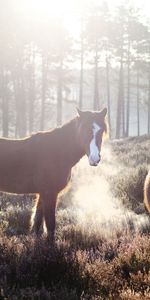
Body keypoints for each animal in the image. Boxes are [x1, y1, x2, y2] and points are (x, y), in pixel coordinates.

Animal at [0, 107, 108, 239]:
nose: (94, 158)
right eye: (83, 129)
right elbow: (50, 225)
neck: (56, 151)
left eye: (101, 131)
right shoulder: (49, 193)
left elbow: (38, 221)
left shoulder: (42, 193)